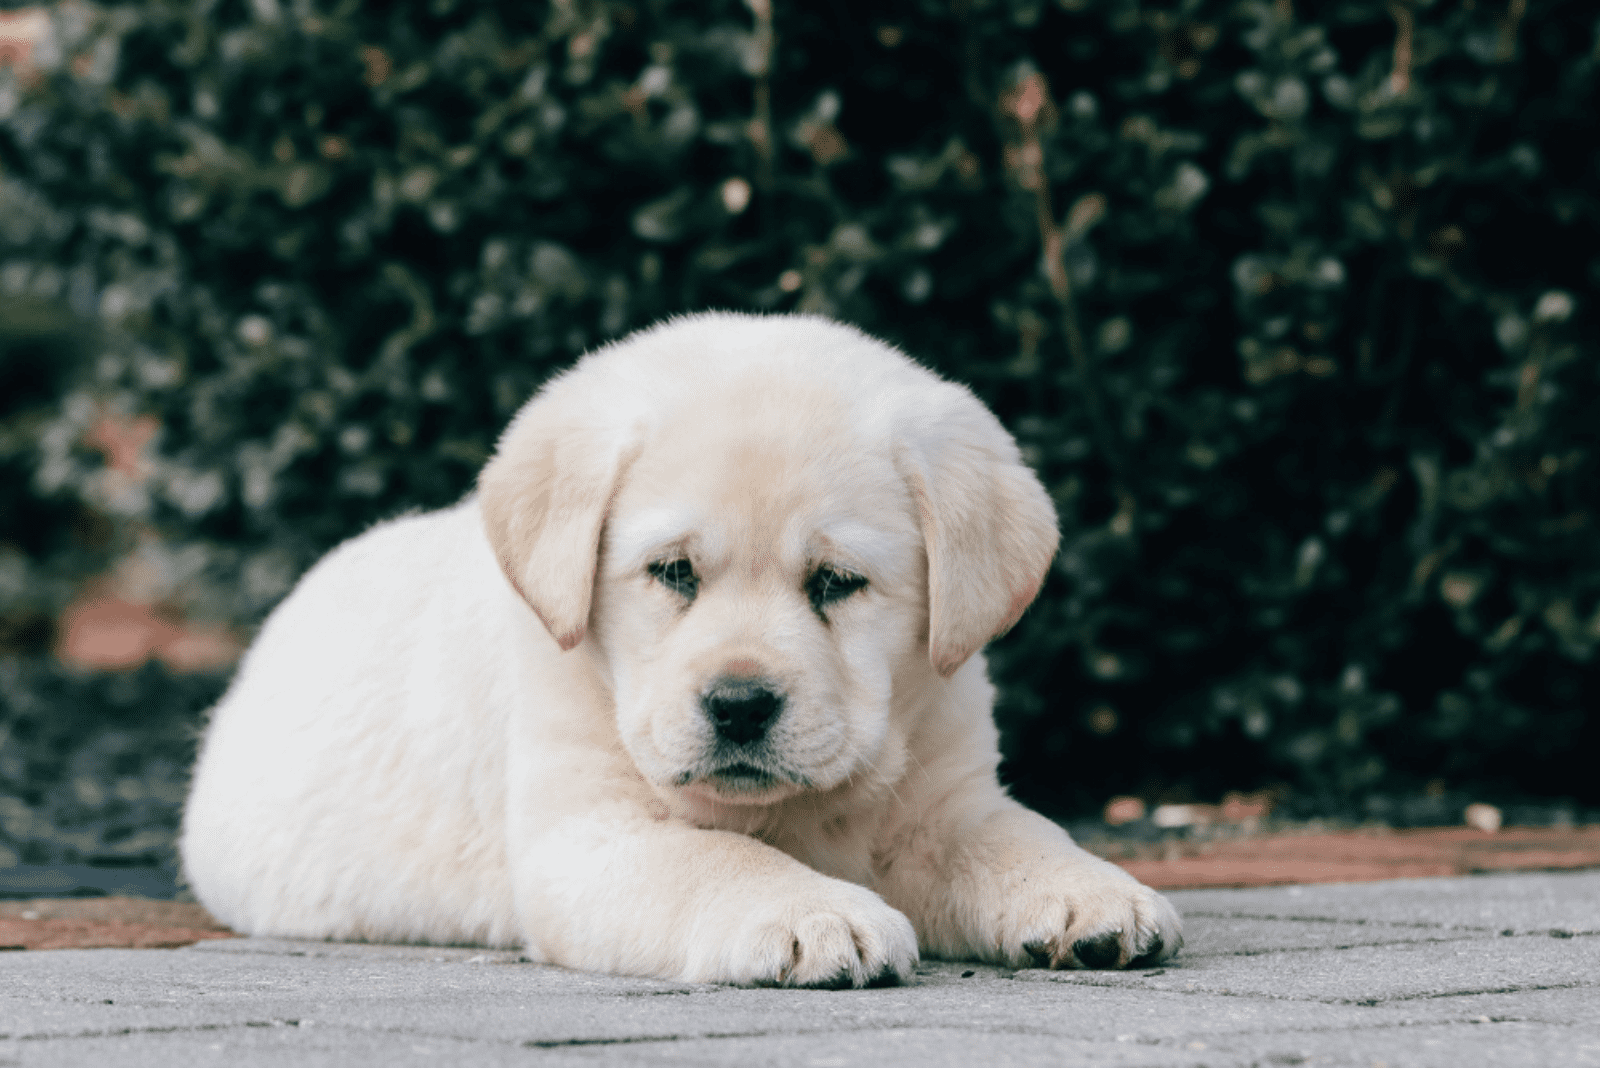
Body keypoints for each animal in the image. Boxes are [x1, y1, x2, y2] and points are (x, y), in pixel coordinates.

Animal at [181, 308, 1184, 984]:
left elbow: (1017, 836)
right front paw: (814, 913)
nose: (739, 706)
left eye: (836, 582)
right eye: (672, 572)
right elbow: (718, 859)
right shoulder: (591, 834)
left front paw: (1096, 895)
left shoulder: (947, 802)